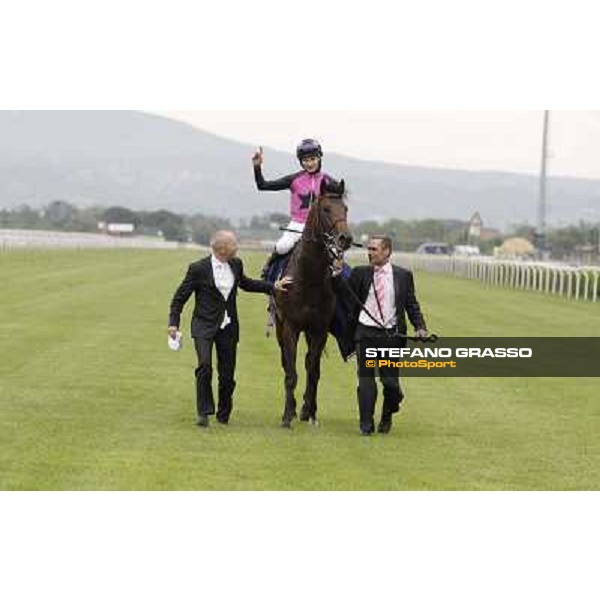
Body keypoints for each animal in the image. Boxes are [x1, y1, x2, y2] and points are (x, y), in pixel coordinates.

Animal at [272, 178, 352, 426]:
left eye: (345, 208)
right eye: (326, 209)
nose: (345, 239)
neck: (309, 277)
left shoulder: (319, 328)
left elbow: (313, 370)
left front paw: (309, 410)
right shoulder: (290, 326)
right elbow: (291, 372)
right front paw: (287, 414)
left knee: (312, 365)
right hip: (280, 327)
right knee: (286, 363)